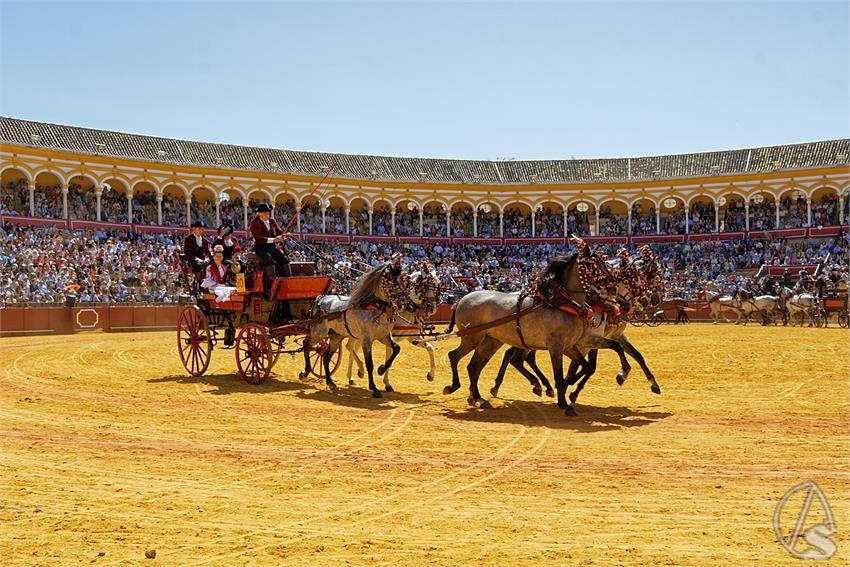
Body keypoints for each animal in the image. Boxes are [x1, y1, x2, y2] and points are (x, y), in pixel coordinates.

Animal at [304, 260, 410, 398]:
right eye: (391, 279)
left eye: (403, 278)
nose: (405, 301)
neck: (375, 307)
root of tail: (321, 298)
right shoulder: (367, 339)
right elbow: (369, 364)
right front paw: (374, 388)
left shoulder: (384, 336)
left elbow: (396, 349)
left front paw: (381, 369)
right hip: (319, 332)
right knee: (306, 344)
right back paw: (305, 372)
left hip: (336, 336)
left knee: (326, 357)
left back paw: (330, 382)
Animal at [444, 248, 644, 418]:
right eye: (592, 265)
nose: (613, 289)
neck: (564, 302)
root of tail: (462, 299)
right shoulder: (558, 347)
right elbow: (561, 373)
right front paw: (565, 402)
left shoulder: (572, 345)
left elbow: (587, 365)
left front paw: (568, 389)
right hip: (472, 337)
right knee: (455, 356)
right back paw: (455, 387)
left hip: (490, 341)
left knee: (475, 366)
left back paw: (479, 397)